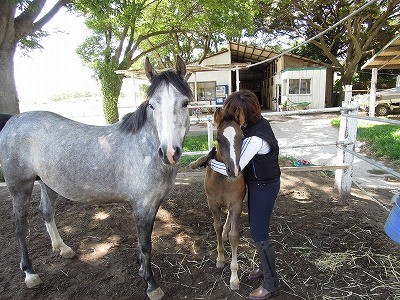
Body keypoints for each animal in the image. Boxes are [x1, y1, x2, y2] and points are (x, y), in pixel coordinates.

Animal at [0, 56, 192, 300]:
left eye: (185, 103)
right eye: (152, 105)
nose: (169, 152)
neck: (144, 146)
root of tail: (13, 120)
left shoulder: (153, 203)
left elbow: (144, 238)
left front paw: (141, 268)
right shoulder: (142, 204)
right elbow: (146, 243)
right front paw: (150, 283)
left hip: (48, 183)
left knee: (46, 211)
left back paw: (63, 248)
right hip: (19, 186)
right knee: (20, 226)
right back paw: (30, 274)